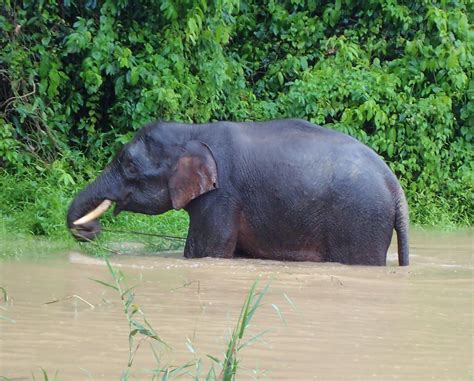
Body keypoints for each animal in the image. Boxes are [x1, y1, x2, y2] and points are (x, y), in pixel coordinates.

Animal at [65, 118, 410, 264]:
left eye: (129, 166)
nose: (91, 230)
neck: (192, 130)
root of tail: (394, 185)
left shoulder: (222, 196)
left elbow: (203, 252)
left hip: (360, 221)